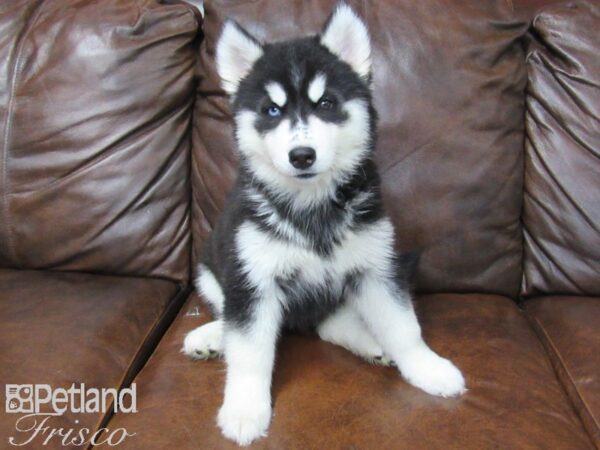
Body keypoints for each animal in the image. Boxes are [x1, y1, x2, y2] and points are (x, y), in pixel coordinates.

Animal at [185, 4, 466, 446]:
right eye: (272, 110)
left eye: (327, 103)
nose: (302, 155)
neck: (311, 206)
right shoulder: (252, 279)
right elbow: (249, 352)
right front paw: (245, 409)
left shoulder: (376, 269)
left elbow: (404, 327)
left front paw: (428, 367)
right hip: (211, 268)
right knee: (231, 317)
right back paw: (211, 337)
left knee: (331, 324)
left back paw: (371, 342)